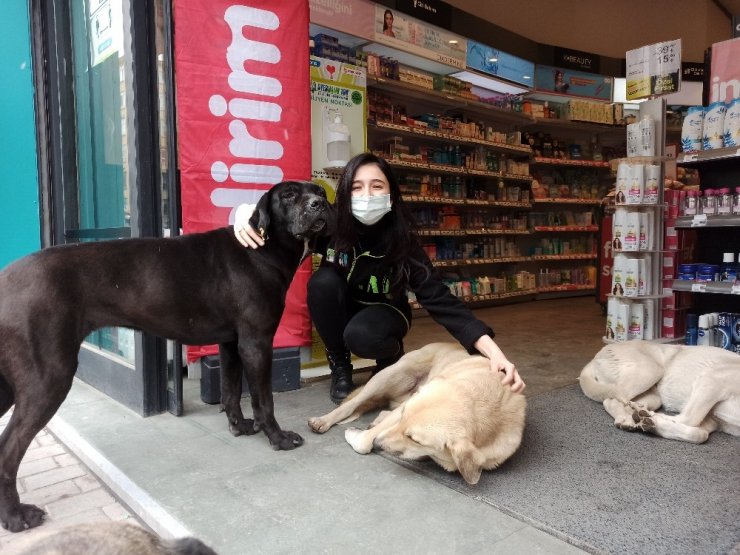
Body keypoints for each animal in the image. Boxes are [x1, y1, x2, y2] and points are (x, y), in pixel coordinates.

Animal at [0, 180, 332, 532]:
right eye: (289, 195)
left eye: (318, 192)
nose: (320, 204)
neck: (263, 248)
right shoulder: (256, 342)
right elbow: (264, 400)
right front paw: (278, 437)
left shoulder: (232, 343)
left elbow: (230, 390)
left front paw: (239, 426)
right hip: (49, 377)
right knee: (8, 449)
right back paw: (15, 515)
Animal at [306, 344, 528, 486]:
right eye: (404, 417)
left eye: (414, 439)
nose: (379, 444)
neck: (483, 402)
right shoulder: (404, 408)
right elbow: (364, 443)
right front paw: (360, 436)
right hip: (389, 376)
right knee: (351, 404)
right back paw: (323, 421)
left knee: (382, 410)